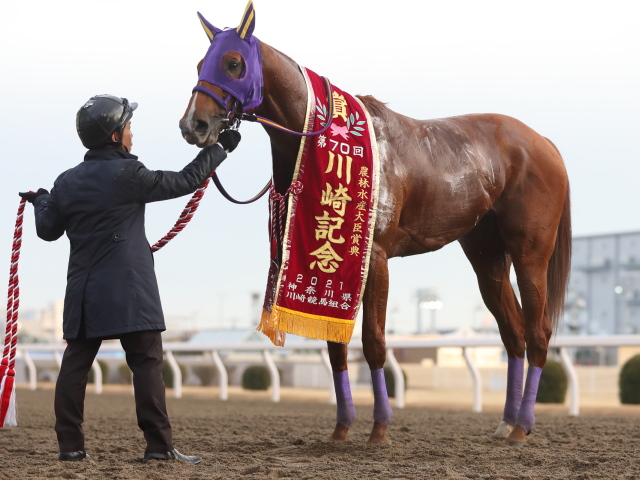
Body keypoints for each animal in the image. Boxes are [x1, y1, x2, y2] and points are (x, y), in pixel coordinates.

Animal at [179, 2, 568, 446]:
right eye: (200, 64)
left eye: (233, 63)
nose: (193, 126)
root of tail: (543, 142)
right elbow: (335, 344)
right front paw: (342, 425)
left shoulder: (376, 257)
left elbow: (374, 342)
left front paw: (380, 427)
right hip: (487, 257)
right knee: (513, 332)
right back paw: (505, 423)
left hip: (530, 254)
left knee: (538, 333)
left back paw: (522, 426)